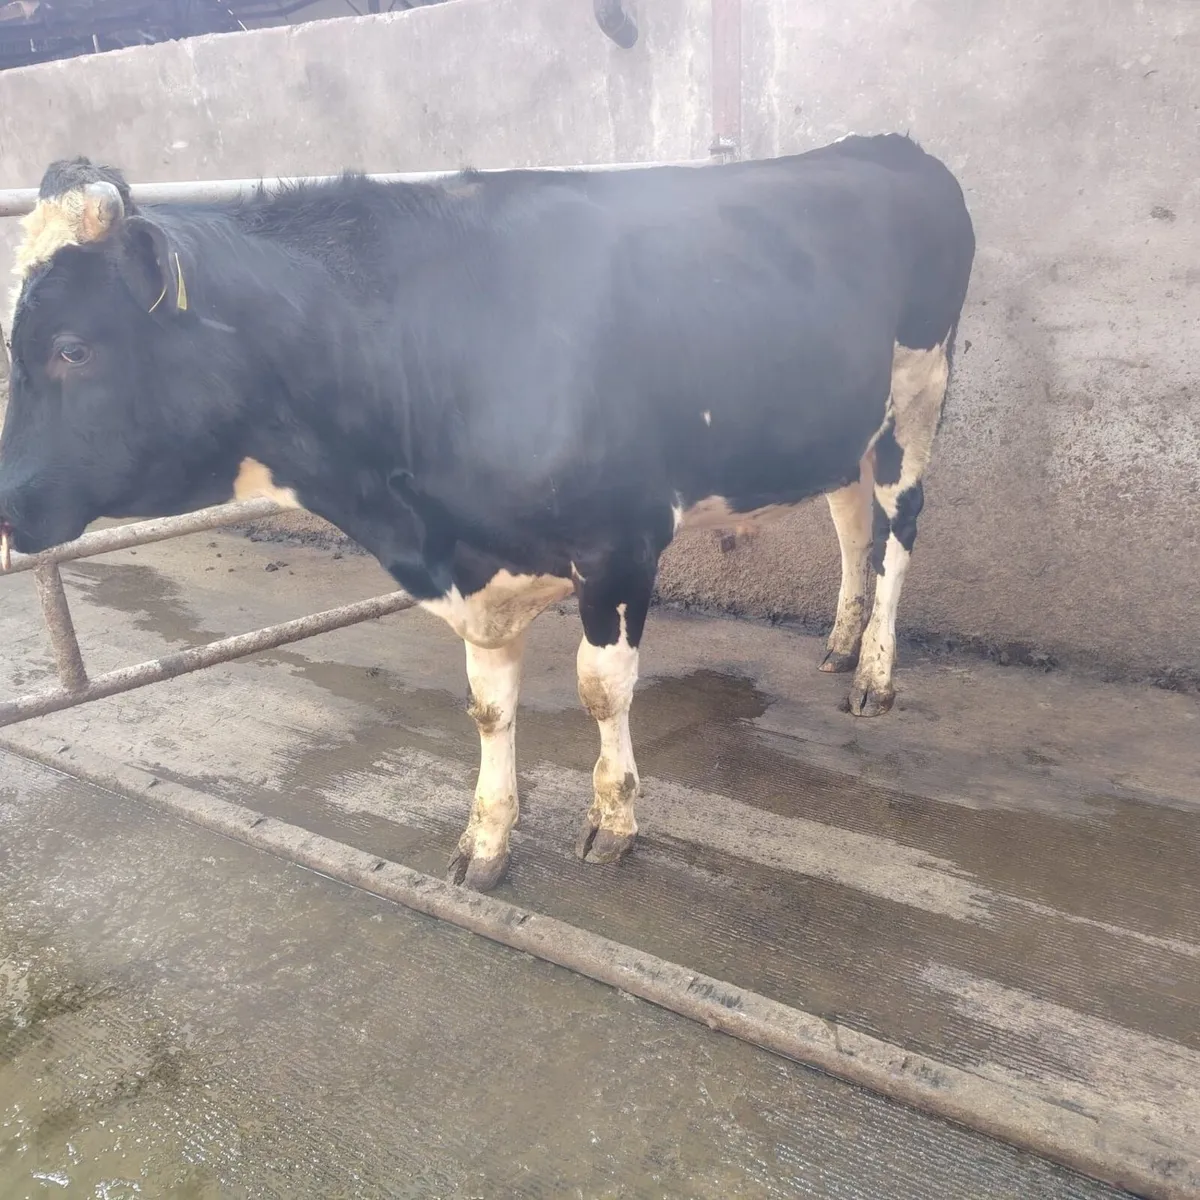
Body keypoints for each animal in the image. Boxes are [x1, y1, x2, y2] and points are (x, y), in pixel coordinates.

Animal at [0, 136, 975, 891]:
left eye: (72, 348)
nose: (5, 508)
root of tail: (887, 145)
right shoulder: (477, 568)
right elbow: (487, 707)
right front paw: (487, 840)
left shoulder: (620, 542)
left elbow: (599, 687)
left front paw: (613, 823)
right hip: (839, 416)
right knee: (849, 516)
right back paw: (840, 640)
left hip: (919, 391)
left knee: (900, 528)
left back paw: (875, 675)